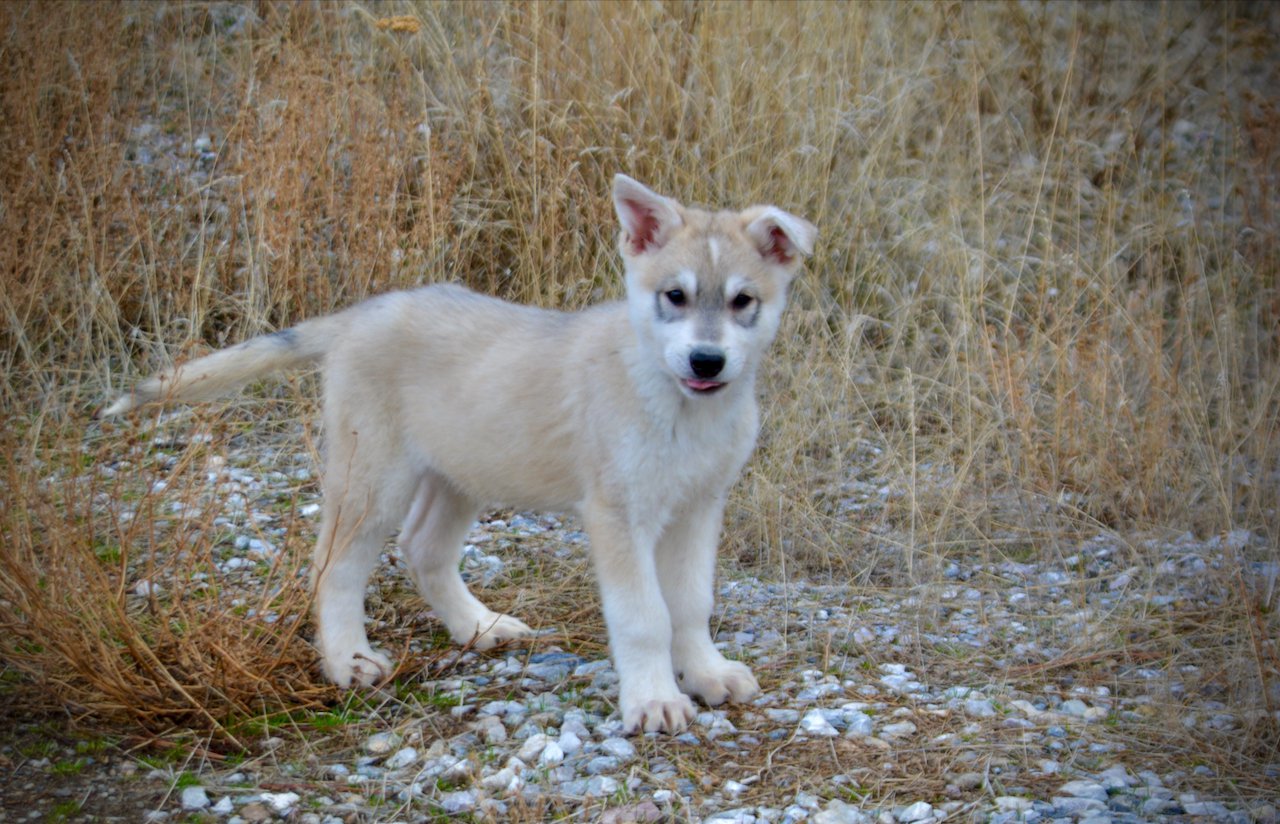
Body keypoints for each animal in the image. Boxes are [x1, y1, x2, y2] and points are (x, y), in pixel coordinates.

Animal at [102, 175, 819, 731]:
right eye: (674, 296)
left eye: (743, 301)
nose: (707, 360)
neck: (678, 404)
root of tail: (359, 315)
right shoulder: (618, 516)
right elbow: (644, 615)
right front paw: (653, 701)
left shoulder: (699, 508)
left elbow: (691, 604)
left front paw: (706, 674)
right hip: (373, 479)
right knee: (333, 566)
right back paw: (347, 660)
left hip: (458, 474)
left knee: (423, 550)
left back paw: (479, 626)